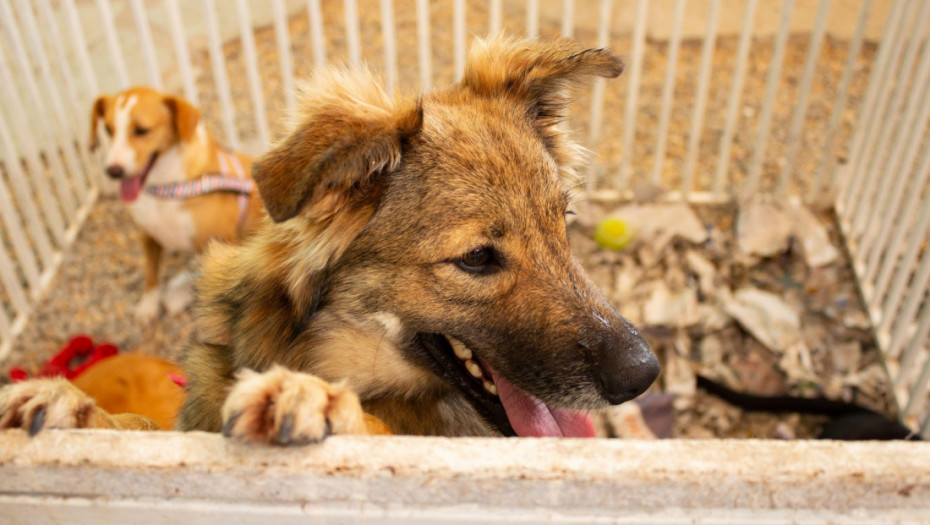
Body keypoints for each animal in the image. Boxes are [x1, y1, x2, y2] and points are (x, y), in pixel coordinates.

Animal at [91, 88, 262, 322]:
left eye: (142, 130)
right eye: (108, 130)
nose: (113, 171)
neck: (166, 188)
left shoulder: (223, 240)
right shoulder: (147, 234)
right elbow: (151, 271)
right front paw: (149, 304)